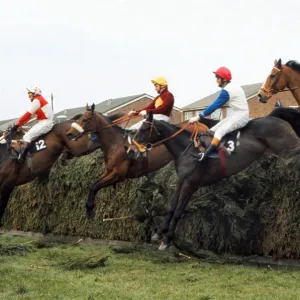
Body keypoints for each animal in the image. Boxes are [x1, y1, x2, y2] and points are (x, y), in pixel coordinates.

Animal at [66, 103, 210, 218]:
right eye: (80, 118)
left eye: (85, 119)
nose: (69, 134)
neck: (116, 143)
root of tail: (202, 126)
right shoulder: (109, 171)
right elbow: (93, 185)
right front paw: (88, 208)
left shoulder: (118, 175)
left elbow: (96, 186)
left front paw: (90, 210)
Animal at [134, 109, 300, 250]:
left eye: (143, 129)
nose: (133, 148)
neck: (186, 149)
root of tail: (273, 116)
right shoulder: (182, 181)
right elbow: (172, 207)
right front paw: (158, 233)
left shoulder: (190, 183)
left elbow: (178, 211)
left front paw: (167, 239)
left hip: (288, 148)